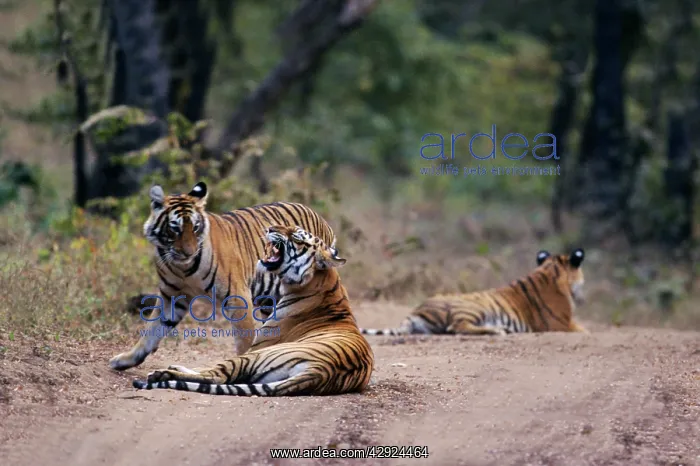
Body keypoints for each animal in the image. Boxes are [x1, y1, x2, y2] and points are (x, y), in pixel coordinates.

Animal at [109, 182, 338, 371]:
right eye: (175, 229)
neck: (183, 268)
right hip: (269, 299)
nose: (189, 252)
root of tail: (320, 218)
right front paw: (125, 360)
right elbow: (151, 330)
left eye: (196, 227)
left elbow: (245, 340)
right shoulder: (171, 295)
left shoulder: (237, 297)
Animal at [131, 224, 374, 396]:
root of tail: (321, 371)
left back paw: (161, 373)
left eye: (297, 237)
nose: (270, 228)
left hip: (256, 355)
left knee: (217, 376)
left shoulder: (259, 345)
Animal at [359, 248, 588, 336]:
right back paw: (498, 331)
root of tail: (414, 312)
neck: (550, 270)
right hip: (473, 308)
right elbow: (585, 330)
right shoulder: (561, 323)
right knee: (457, 327)